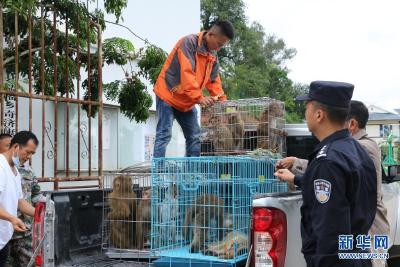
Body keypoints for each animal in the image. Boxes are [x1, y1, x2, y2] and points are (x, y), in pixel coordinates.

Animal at [151, 156, 288, 266]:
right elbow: (219, 230)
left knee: (199, 234)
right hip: (202, 220)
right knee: (201, 235)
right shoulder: (219, 217)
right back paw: (197, 248)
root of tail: (197, 202)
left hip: (196, 219)